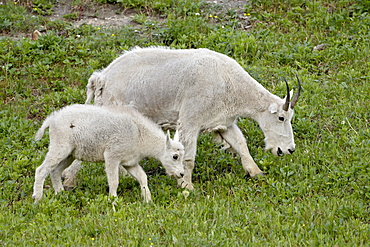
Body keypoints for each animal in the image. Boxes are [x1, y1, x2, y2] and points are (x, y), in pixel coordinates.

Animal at [63, 46, 300, 189]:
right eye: (281, 118)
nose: (289, 150)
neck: (230, 85)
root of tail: (101, 78)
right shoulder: (190, 121)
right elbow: (188, 158)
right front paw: (186, 186)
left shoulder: (222, 122)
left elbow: (241, 144)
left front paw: (256, 173)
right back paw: (70, 180)